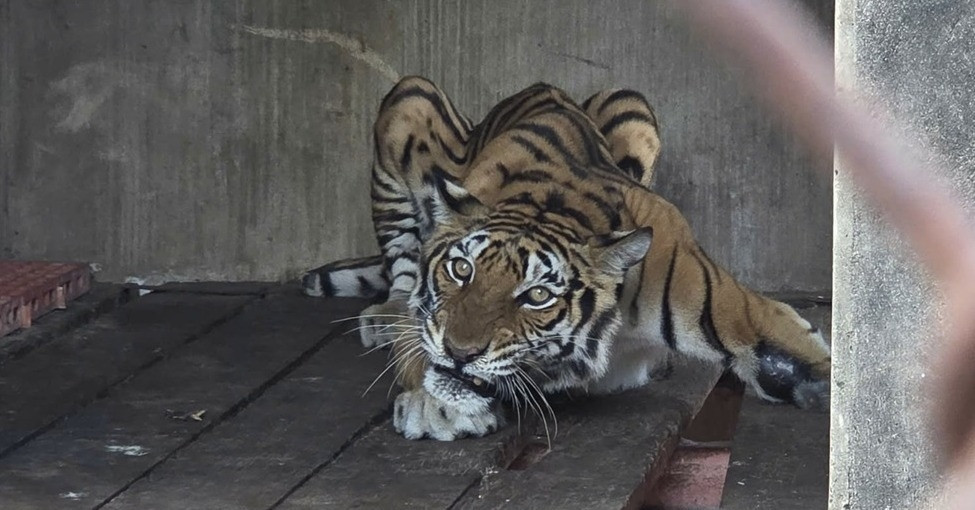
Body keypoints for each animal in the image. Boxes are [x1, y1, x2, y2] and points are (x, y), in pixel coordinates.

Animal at [302, 76, 831, 441]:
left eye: (537, 295)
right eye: (461, 269)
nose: (460, 353)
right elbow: (417, 331)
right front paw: (431, 404)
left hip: (632, 104)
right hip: (408, 100)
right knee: (400, 266)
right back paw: (383, 317)